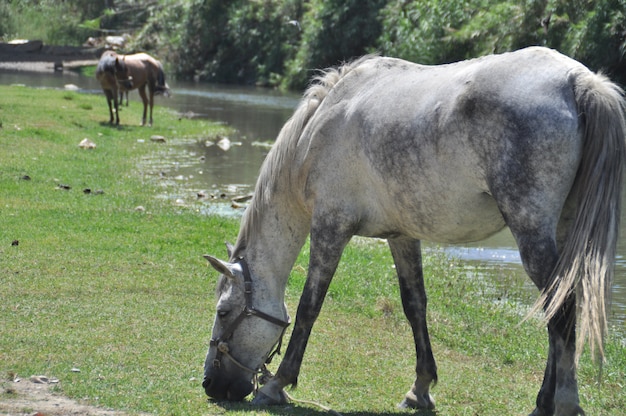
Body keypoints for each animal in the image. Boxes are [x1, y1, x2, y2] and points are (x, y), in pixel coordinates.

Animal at [202, 47, 620, 414]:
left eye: (224, 311)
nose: (210, 384)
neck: (320, 126)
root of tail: (576, 79)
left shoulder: (330, 227)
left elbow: (309, 306)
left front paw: (277, 384)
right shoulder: (402, 237)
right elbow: (414, 306)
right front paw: (420, 390)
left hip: (531, 230)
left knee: (561, 311)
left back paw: (564, 403)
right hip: (561, 230)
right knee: (559, 309)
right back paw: (542, 403)